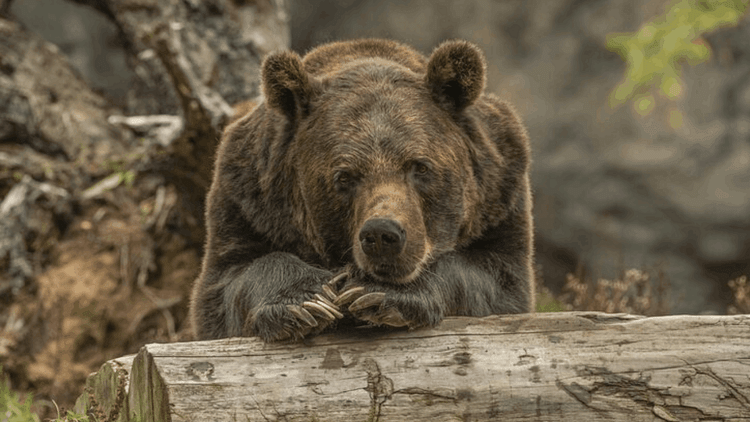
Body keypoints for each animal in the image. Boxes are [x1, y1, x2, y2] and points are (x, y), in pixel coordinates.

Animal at [191, 38, 536, 342]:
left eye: (420, 166)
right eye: (344, 176)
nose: (382, 234)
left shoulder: (499, 195)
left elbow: (496, 280)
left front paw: (379, 293)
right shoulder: (248, 200)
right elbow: (228, 282)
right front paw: (308, 301)